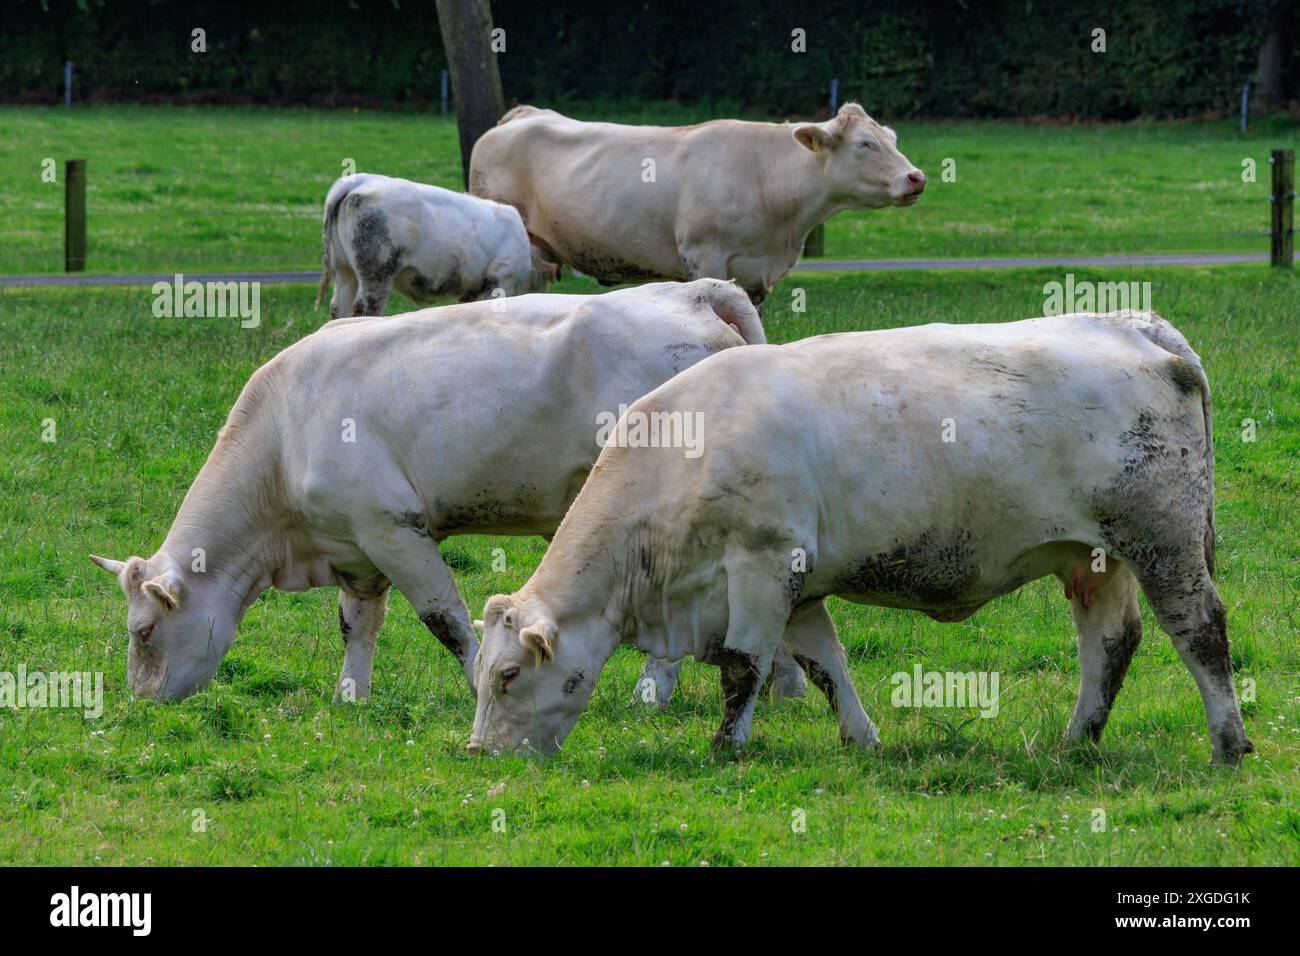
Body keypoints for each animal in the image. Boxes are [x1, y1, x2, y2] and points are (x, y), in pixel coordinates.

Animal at [96, 277, 764, 702]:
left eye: (144, 632)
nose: (141, 701)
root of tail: (693, 291)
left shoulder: (394, 529)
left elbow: (444, 617)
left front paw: (478, 680)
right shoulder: (354, 547)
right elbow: (357, 624)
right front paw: (351, 696)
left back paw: (652, 691)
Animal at [319, 174, 559, 319]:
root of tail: (359, 180)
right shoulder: (500, 278)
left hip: (344, 271)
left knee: (339, 308)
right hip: (376, 272)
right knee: (365, 308)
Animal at [467, 101, 925, 304]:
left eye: (892, 138)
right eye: (865, 144)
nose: (916, 177)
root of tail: (523, 114)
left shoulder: (756, 275)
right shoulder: (704, 256)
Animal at [473, 314, 1253, 770]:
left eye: (508, 674)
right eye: (478, 674)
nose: (480, 753)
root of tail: (1134, 323)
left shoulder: (761, 565)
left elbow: (743, 668)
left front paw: (725, 747)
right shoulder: (799, 583)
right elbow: (825, 665)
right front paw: (861, 737)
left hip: (1164, 542)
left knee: (1202, 634)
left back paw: (1229, 744)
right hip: (1096, 558)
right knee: (1111, 644)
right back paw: (1077, 739)